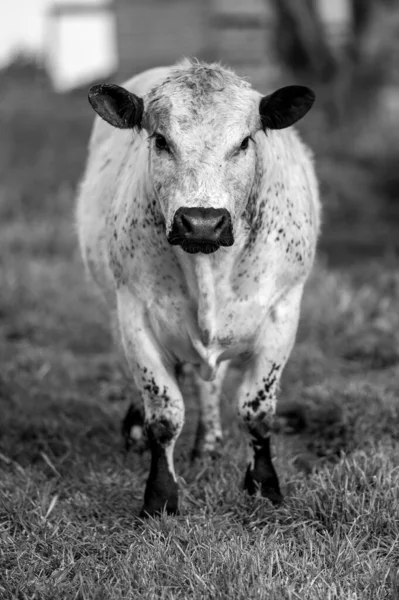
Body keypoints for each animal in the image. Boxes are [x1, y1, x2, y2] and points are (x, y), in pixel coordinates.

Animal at [76, 59, 322, 516]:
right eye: (160, 140)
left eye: (244, 142)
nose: (202, 222)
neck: (208, 267)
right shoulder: (134, 313)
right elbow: (164, 414)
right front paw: (160, 497)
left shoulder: (282, 311)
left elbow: (257, 411)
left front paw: (264, 487)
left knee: (211, 380)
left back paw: (209, 445)